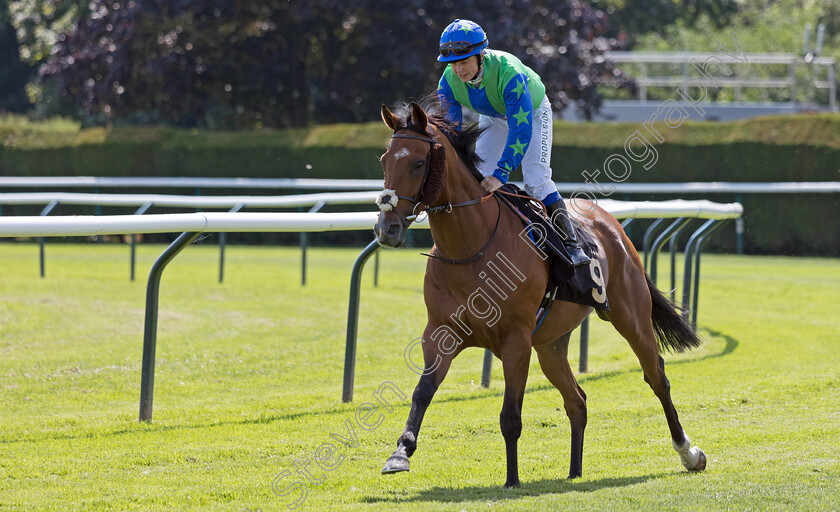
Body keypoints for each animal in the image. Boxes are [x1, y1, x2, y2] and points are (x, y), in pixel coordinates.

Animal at [370, 98, 704, 486]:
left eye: (418, 163)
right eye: (384, 160)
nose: (387, 228)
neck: (471, 246)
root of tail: (613, 226)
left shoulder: (516, 341)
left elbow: (510, 416)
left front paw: (512, 480)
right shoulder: (440, 333)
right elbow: (422, 393)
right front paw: (399, 453)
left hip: (630, 316)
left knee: (657, 377)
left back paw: (688, 452)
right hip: (550, 344)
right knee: (577, 400)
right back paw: (574, 472)